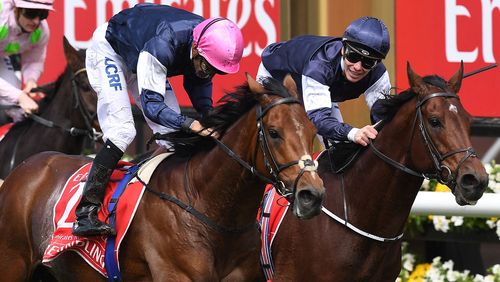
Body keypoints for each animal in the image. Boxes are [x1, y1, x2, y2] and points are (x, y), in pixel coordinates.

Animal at [0, 74, 324, 280]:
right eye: (274, 132)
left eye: (312, 131)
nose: (312, 195)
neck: (208, 204)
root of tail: (25, 168)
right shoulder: (175, 274)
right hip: (13, 263)